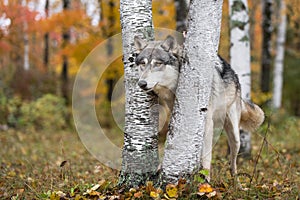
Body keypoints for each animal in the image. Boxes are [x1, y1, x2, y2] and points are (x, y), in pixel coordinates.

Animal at [134, 35, 264, 182]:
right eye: (143, 63)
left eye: (157, 63)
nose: (141, 83)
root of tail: (235, 75)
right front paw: (160, 167)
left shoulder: (207, 123)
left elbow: (207, 157)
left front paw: (206, 181)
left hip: (235, 136)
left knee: (233, 163)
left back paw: (237, 184)